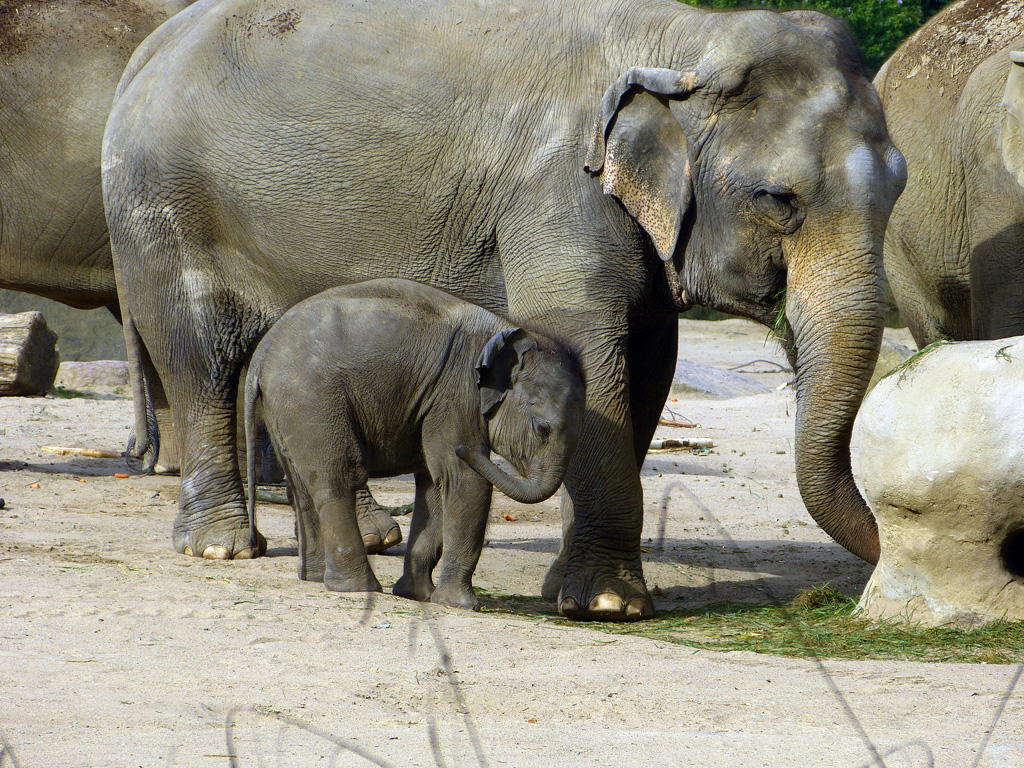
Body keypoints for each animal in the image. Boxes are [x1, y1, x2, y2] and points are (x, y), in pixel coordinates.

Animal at [240, 280, 589, 610]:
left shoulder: (435, 403)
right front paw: (460, 605)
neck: (506, 329)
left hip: (285, 411)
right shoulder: (454, 395)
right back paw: (358, 587)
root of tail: (260, 357)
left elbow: (435, 485)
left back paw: (314, 578)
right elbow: (463, 479)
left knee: (302, 486)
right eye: (543, 430)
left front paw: (418, 595)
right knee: (338, 479)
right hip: (313, 401)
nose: (467, 450)